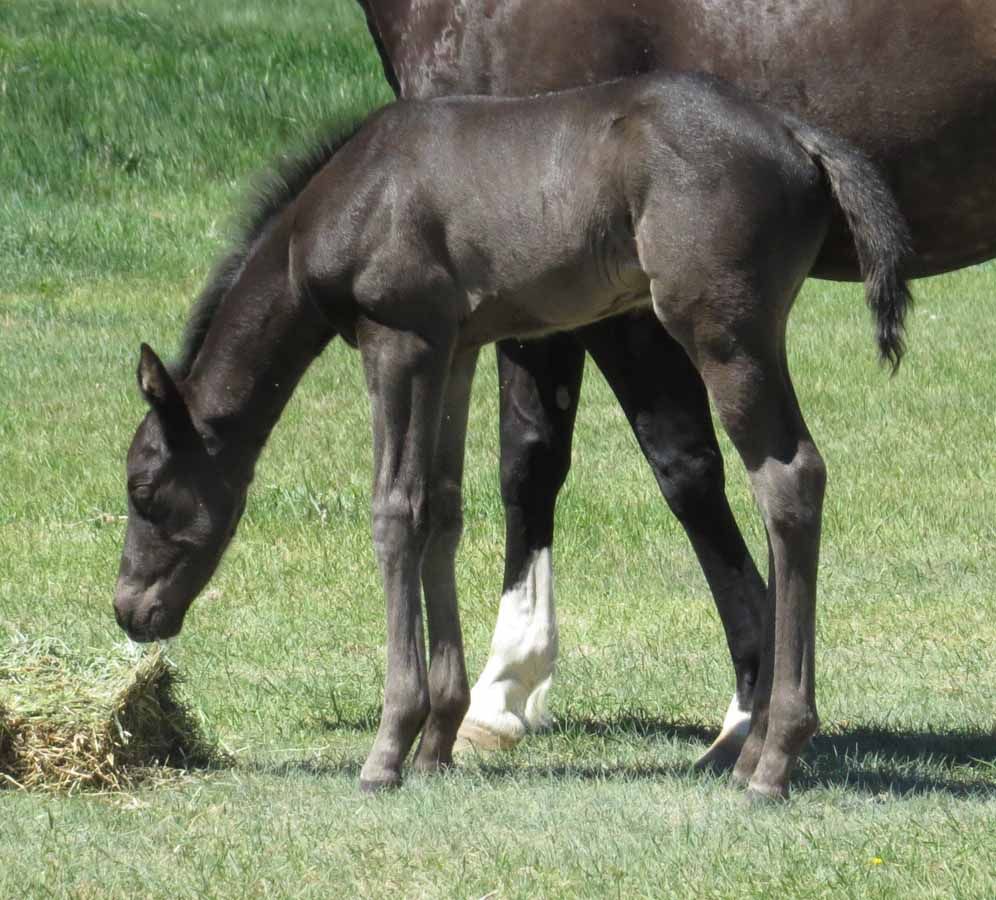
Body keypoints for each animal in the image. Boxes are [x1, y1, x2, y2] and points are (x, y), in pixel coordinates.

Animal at [113, 69, 911, 800]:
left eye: (144, 490)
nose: (129, 609)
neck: (349, 198)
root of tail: (797, 136)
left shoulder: (398, 338)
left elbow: (394, 511)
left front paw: (388, 748)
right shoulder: (455, 347)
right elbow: (441, 508)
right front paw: (437, 742)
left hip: (723, 329)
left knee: (788, 476)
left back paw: (774, 759)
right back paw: (752, 751)